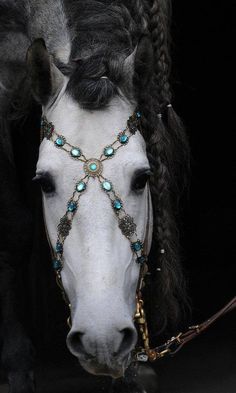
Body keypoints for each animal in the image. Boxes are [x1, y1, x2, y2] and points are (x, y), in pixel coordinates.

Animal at [0, 0, 189, 392]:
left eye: (142, 178)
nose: (102, 340)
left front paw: (132, 368)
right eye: (44, 183)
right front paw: (16, 361)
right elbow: (14, 228)